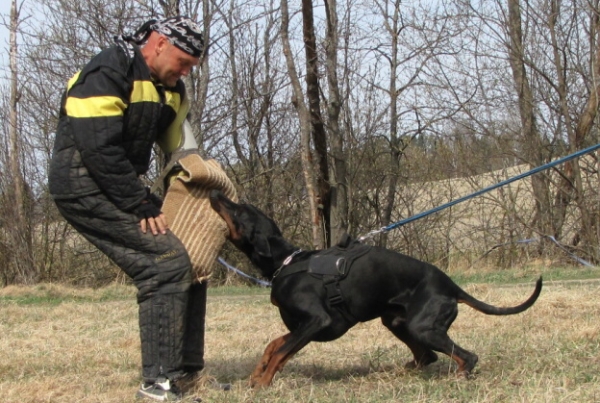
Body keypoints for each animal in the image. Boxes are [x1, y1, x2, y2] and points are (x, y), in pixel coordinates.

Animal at [210, 191, 544, 386]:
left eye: (239, 210)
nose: (215, 193)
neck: (286, 262)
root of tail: (451, 285)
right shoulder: (302, 326)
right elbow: (273, 345)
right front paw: (257, 373)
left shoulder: (317, 321)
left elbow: (282, 351)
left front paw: (263, 383)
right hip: (396, 321)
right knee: (427, 357)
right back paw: (399, 372)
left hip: (423, 327)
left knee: (465, 356)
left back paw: (459, 377)